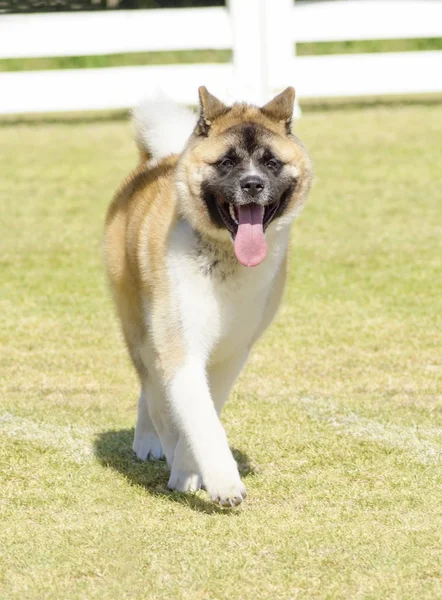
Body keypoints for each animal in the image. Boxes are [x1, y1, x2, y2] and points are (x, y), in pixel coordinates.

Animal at [103, 85, 312, 506]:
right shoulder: (181, 348)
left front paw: (189, 470)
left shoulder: (231, 353)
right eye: (227, 162)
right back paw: (152, 442)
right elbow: (198, 417)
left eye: (271, 162)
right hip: (140, 328)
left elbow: (206, 411)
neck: (226, 257)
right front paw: (223, 483)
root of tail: (155, 160)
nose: (252, 184)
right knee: (153, 390)